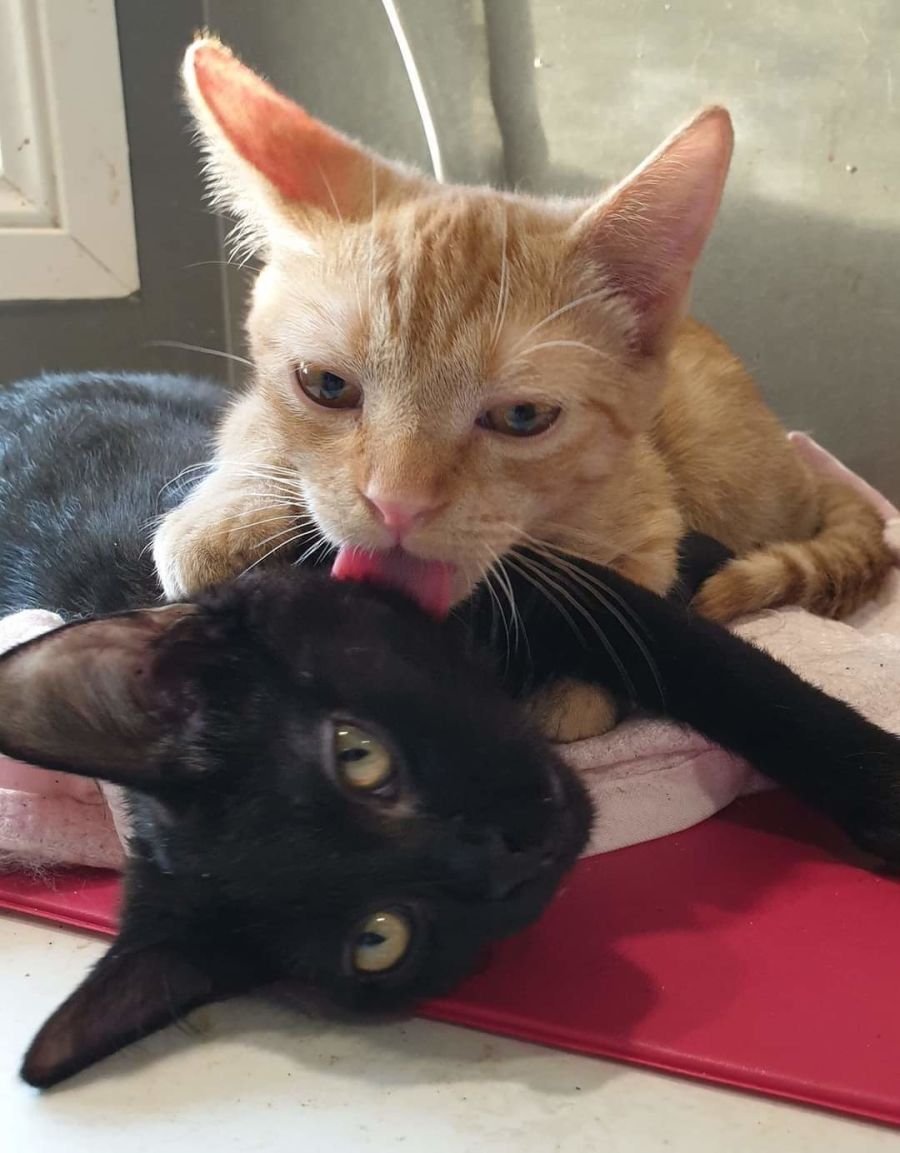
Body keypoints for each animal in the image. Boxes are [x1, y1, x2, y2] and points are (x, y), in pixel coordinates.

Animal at [4, 371, 900, 1087]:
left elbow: (745, 686)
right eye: (380, 938)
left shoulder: (550, 586)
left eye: (356, 754)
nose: (513, 846)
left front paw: (880, 784)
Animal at [152, 36, 892, 743]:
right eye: (326, 385)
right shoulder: (253, 407)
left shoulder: (653, 517)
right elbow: (252, 430)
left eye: (522, 416)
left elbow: (633, 594)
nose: (396, 506)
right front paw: (220, 518)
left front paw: (574, 689)